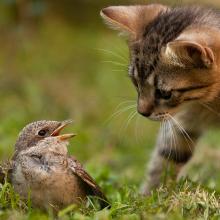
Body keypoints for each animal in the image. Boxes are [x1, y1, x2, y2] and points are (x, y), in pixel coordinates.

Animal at [101, 3, 220, 194]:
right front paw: (149, 196)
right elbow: (165, 159)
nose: (141, 112)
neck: (211, 102)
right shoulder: (184, 122)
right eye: (136, 82)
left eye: (164, 93)